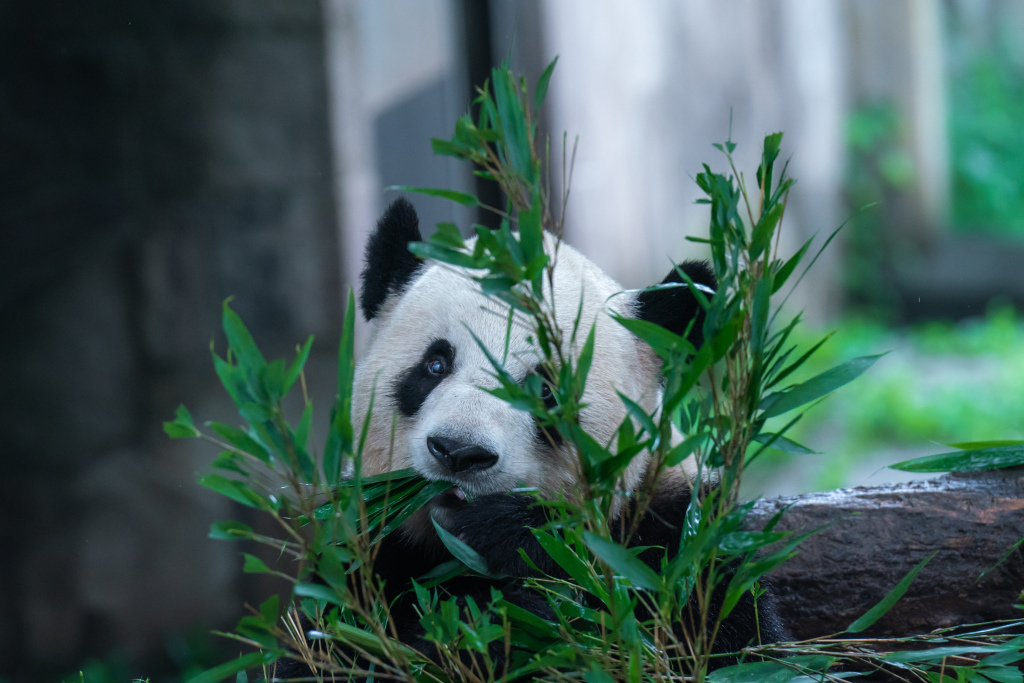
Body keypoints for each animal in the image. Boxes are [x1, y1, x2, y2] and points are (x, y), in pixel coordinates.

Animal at [280, 197, 786, 677]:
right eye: (435, 364)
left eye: (544, 389)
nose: (458, 453)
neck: (450, 547)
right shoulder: (365, 551)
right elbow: (323, 647)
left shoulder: (675, 532)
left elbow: (720, 643)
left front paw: (510, 554)